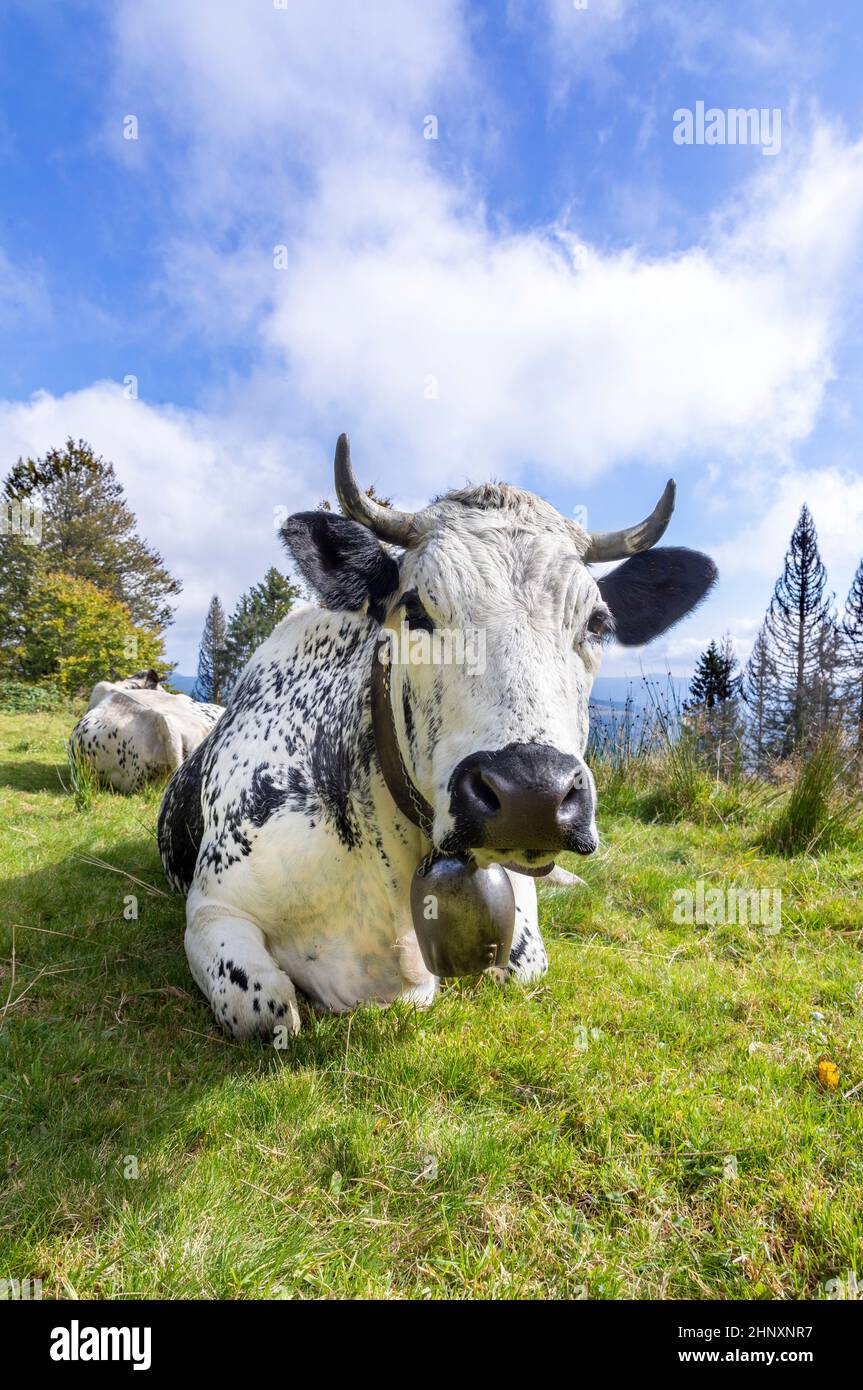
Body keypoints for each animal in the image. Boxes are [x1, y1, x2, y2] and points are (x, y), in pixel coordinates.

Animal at [158, 435, 716, 1038]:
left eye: (596, 623)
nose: (533, 793)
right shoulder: (214, 908)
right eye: (417, 607)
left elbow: (523, 961)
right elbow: (267, 1011)